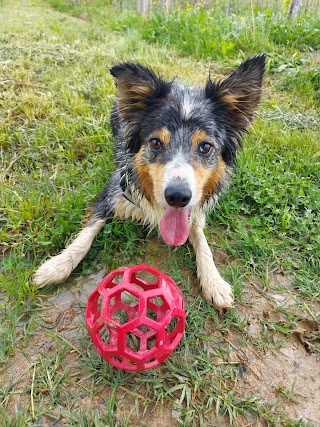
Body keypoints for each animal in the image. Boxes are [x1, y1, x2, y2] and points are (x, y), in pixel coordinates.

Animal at [32, 55, 266, 310]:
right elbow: (88, 232)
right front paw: (58, 265)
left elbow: (200, 238)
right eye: (155, 143)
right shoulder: (114, 190)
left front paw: (214, 281)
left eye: (205, 147)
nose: (177, 196)